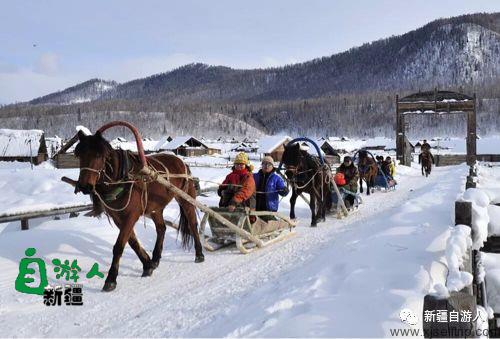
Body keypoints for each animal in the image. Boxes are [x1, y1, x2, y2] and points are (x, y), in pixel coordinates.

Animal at [74, 130, 203, 292]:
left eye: (98, 155)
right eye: (79, 155)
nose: (84, 186)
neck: (123, 178)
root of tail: (182, 162)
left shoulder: (131, 216)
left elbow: (119, 246)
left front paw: (111, 279)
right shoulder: (118, 218)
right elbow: (133, 242)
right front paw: (147, 265)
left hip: (185, 199)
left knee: (192, 224)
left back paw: (199, 254)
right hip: (156, 208)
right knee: (161, 228)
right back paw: (155, 259)